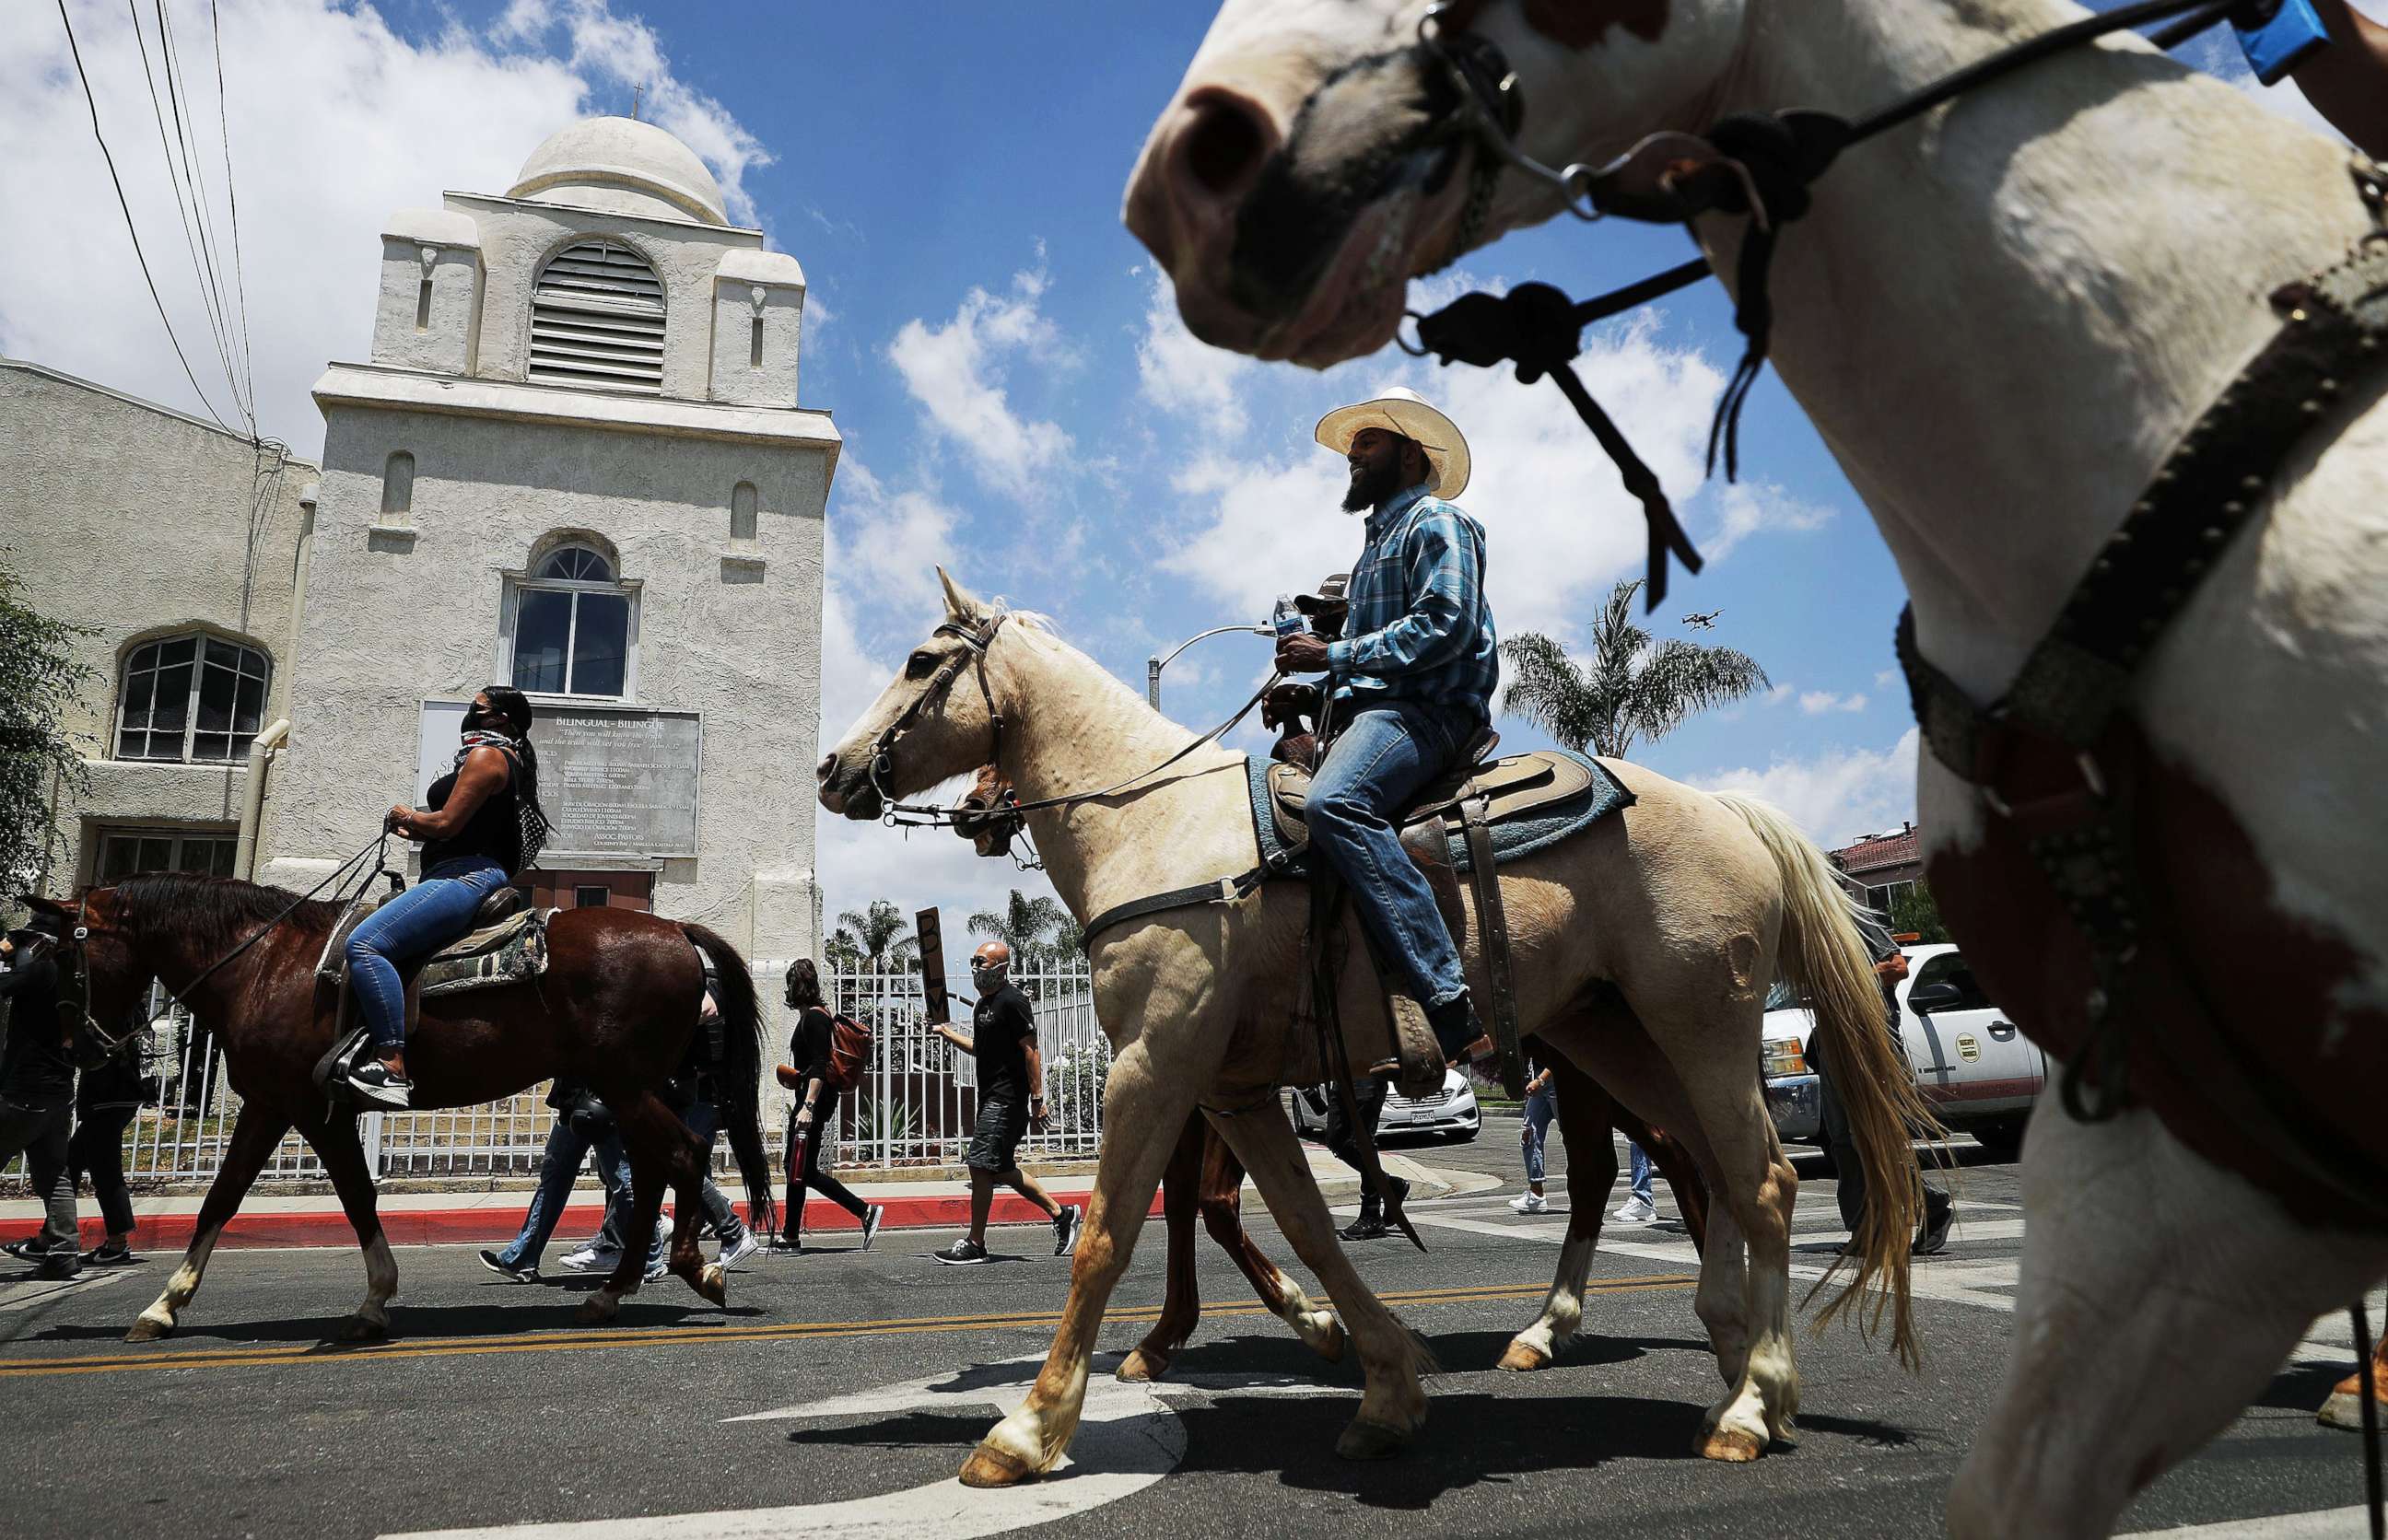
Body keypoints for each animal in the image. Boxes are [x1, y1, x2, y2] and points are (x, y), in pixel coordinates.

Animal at [28, 869, 773, 1336]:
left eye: (64, 957)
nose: (74, 1049)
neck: (266, 965)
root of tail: (675, 930)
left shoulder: (312, 1108)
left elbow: (351, 1198)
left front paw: (373, 1301)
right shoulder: (272, 1106)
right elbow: (226, 1195)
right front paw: (168, 1302)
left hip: (626, 1084)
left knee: (681, 1153)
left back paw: (685, 1269)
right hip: (632, 1087)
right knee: (655, 1169)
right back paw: (621, 1287)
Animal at [1127, 1055, 1709, 1384]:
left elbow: (1215, 1203)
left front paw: (1316, 1324)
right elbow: (1179, 1203)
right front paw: (1161, 1337)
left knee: (1620, 1160)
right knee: (1667, 1147)